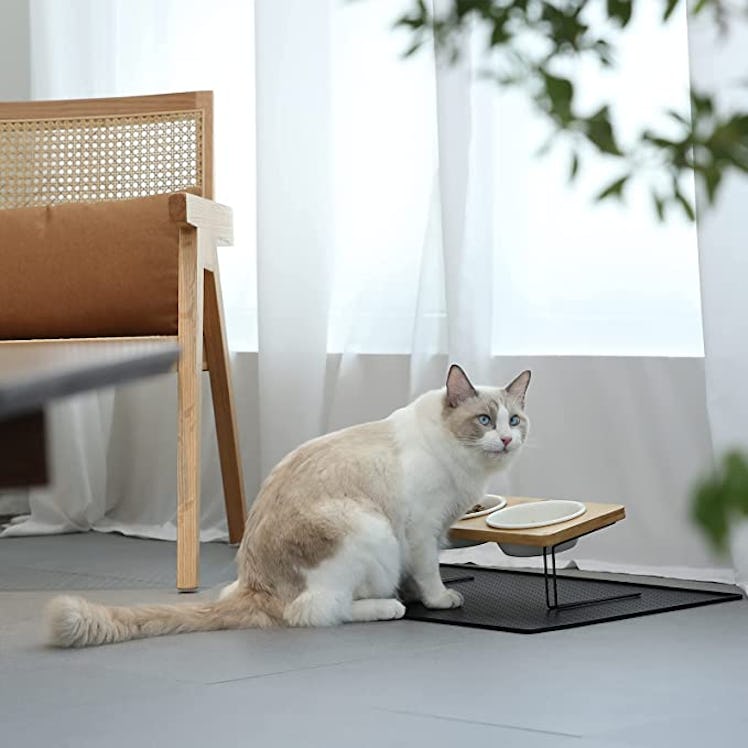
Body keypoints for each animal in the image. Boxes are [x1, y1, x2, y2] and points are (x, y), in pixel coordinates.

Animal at [46, 366, 528, 644]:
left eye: (514, 420)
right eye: (484, 421)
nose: (506, 440)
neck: (460, 462)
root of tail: (251, 585)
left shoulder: (428, 533)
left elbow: (416, 575)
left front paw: (419, 594)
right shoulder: (421, 532)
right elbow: (429, 574)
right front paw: (439, 599)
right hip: (369, 529)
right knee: (317, 612)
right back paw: (388, 606)